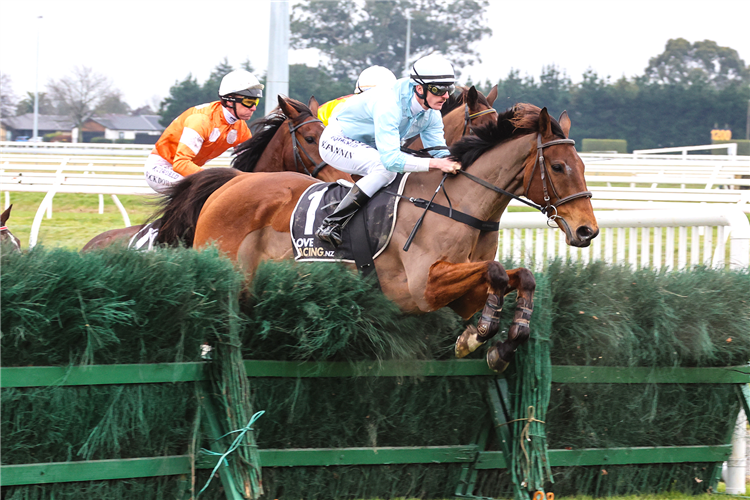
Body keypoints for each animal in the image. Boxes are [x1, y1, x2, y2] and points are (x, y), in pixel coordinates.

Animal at [192, 103, 600, 372]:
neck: (459, 204)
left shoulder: (463, 291)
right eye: (559, 167)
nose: (587, 230)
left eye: (582, 165)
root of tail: (229, 185)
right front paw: (479, 333)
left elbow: (520, 276)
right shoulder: (421, 289)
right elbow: (496, 271)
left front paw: (501, 342)